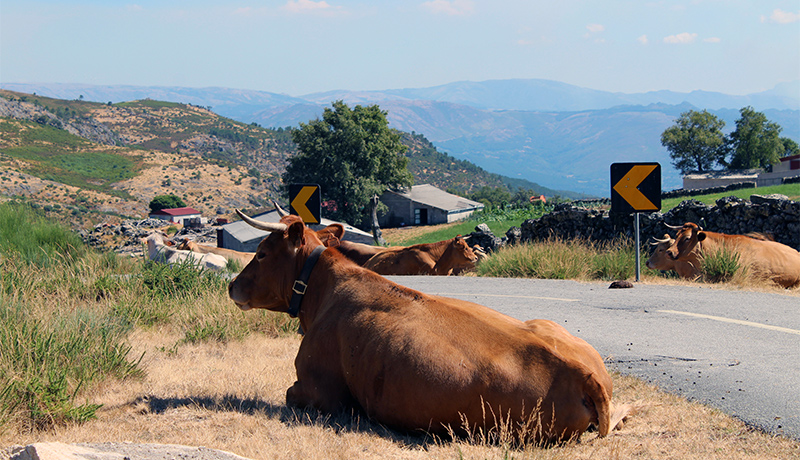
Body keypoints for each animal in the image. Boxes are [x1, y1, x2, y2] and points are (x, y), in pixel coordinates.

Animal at [228, 210, 636, 444]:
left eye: (261, 253)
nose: (232, 286)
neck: (323, 290)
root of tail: (585, 374)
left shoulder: (319, 392)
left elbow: (289, 395)